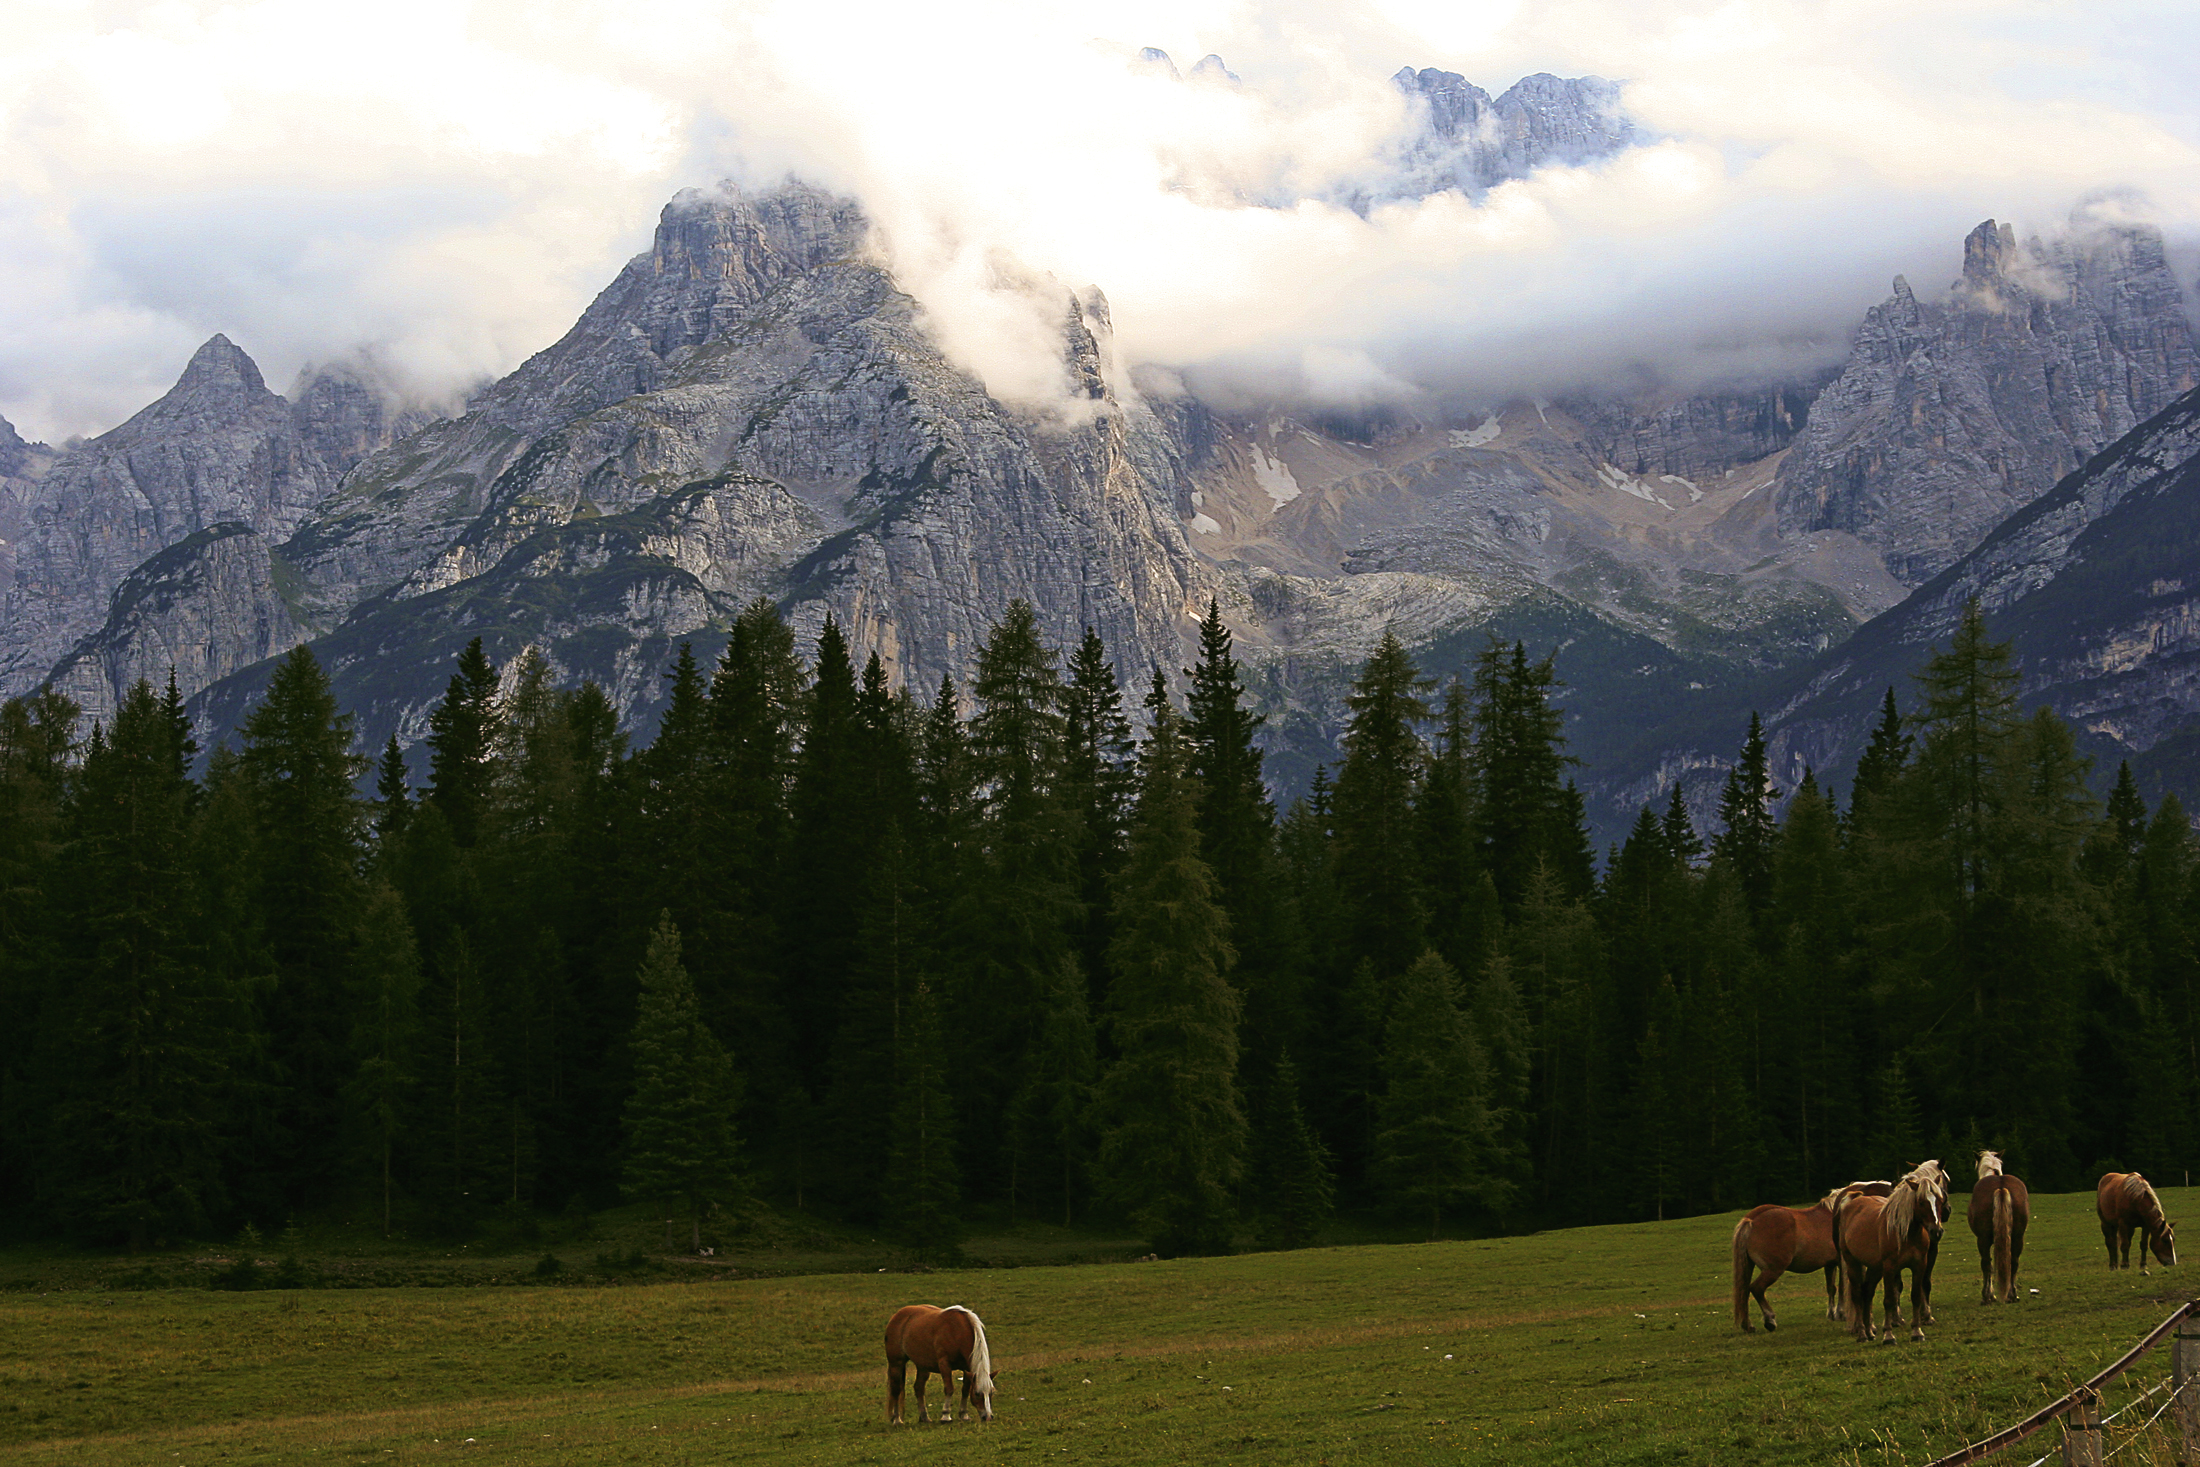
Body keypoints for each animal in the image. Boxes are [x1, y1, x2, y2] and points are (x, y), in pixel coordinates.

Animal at [1731, 1199, 1842, 1333]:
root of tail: (1752, 1220)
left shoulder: (1830, 1264)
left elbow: (1831, 1288)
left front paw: (1832, 1315)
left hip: (1749, 1266)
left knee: (1744, 1292)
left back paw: (1748, 1325)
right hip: (1773, 1270)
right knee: (1756, 1288)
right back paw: (1770, 1320)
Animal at [1834, 1162, 1947, 1343]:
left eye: (1940, 1200)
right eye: (1921, 1202)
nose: (1936, 1231)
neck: (1906, 1233)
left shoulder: (1919, 1265)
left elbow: (1916, 1296)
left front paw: (1917, 1332)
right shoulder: (1889, 1267)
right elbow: (1888, 1299)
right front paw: (1888, 1335)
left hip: (1875, 1268)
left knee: (1867, 1292)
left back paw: (1870, 1332)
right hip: (1853, 1263)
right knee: (1857, 1294)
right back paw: (1862, 1334)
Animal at [1967, 1150, 2030, 1304]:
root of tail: (2001, 1187)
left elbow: (1988, 1265)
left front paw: (1990, 1294)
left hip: (1982, 1239)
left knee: (1986, 1263)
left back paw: (1987, 1297)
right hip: (2018, 1237)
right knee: (2014, 1262)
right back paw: (2012, 1294)